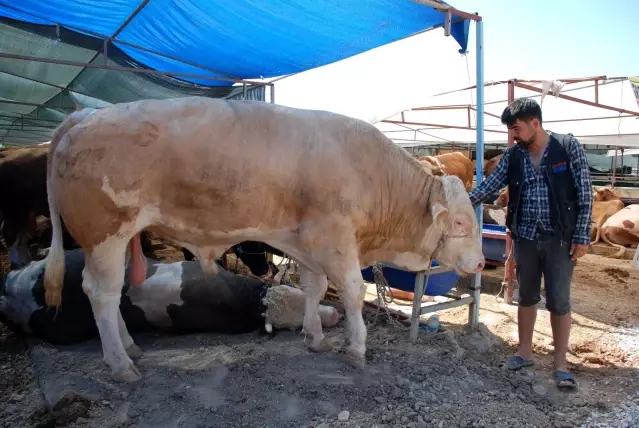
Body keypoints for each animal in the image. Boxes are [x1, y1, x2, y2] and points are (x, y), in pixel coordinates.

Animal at [43, 97, 484, 382]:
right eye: (462, 222)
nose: (480, 263)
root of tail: (85, 115)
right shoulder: (335, 238)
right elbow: (353, 291)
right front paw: (357, 347)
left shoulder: (306, 242)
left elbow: (315, 288)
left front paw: (314, 337)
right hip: (105, 233)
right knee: (101, 292)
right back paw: (121, 365)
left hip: (116, 239)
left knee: (109, 290)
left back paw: (129, 347)